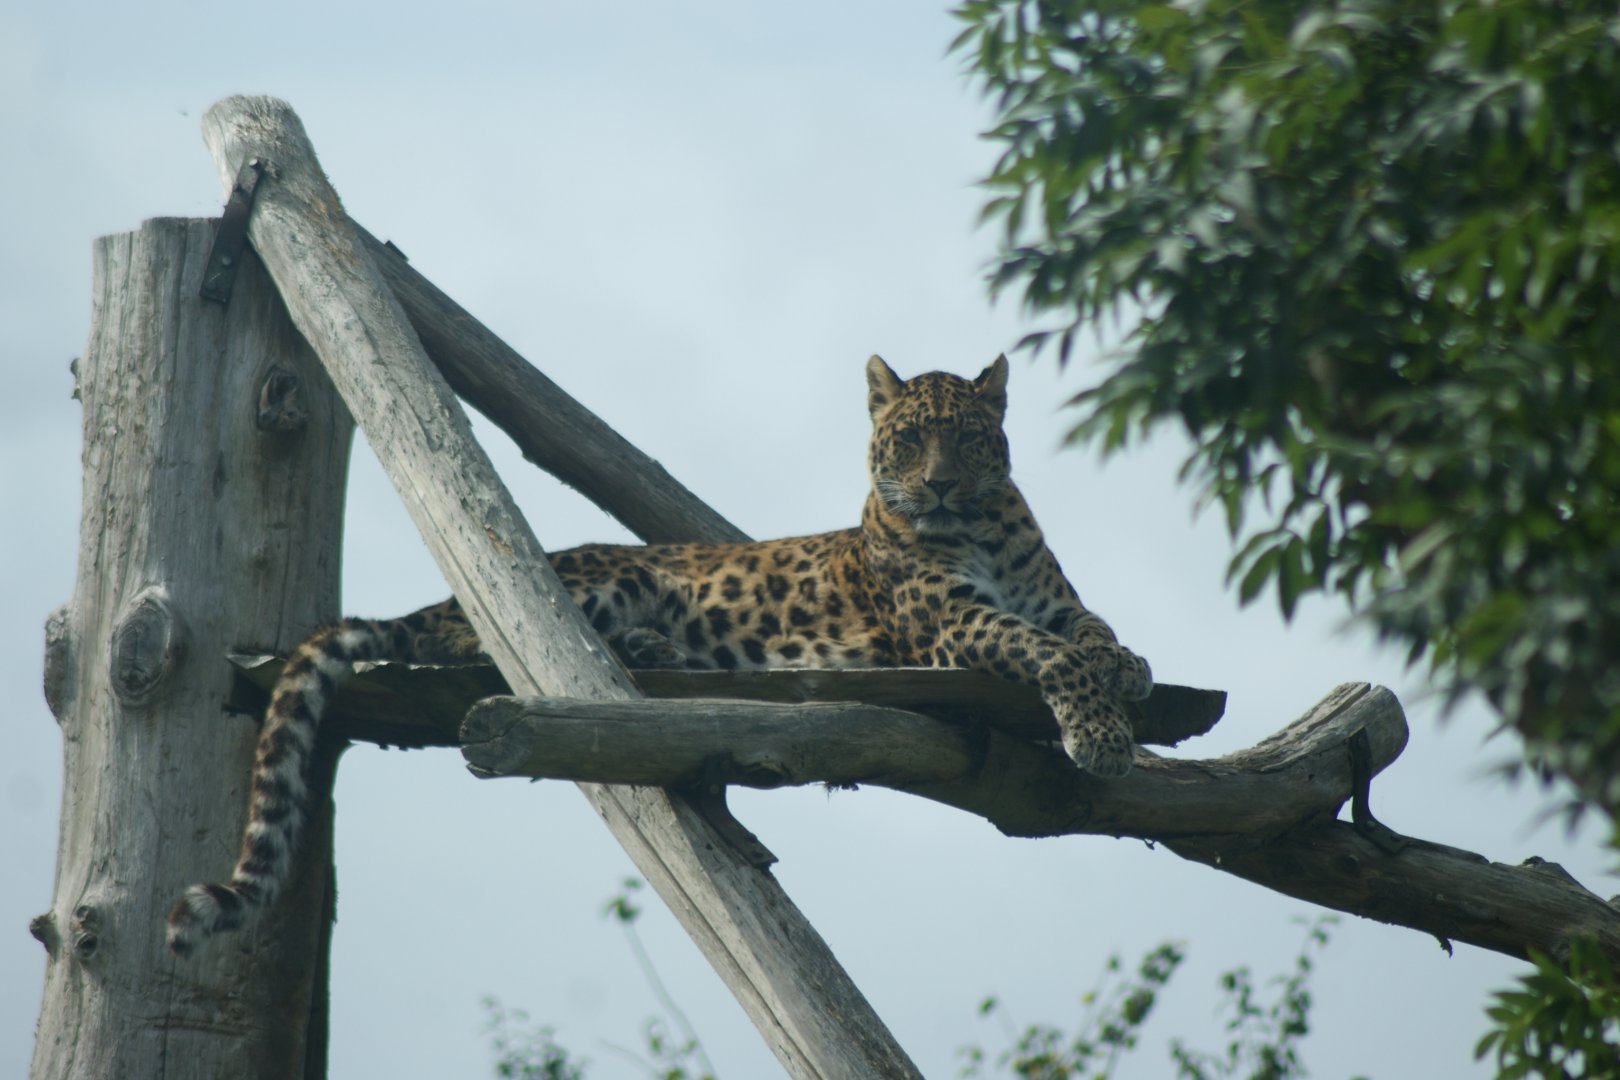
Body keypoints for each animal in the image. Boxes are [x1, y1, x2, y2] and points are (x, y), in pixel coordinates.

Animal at [165, 354, 1151, 956]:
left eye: (970, 439)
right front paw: (1101, 735)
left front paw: (1130, 677)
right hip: (602, 578)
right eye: (909, 439)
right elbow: (1046, 652)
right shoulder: (950, 627)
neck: (982, 527)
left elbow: (1096, 636)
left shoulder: (1058, 602)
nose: (940, 485)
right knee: (480, 628)